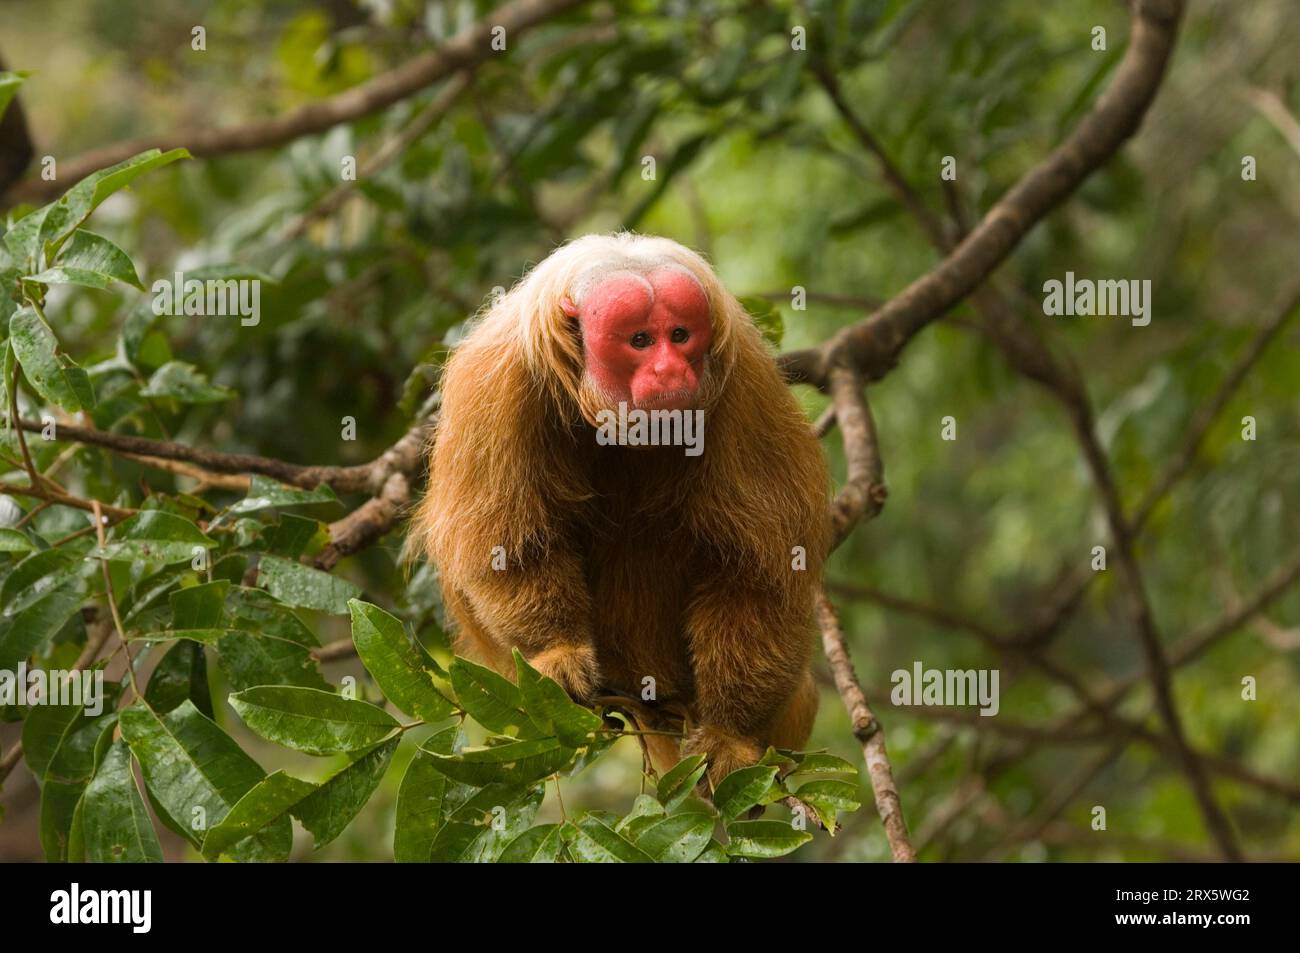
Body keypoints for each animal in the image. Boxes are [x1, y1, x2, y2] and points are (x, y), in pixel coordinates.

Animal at [410, 232, 826, 780]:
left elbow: (761, 575)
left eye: (680, 335)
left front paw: (730, 735)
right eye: (641, 341)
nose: (670, 370)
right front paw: (558, 650)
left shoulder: (744, 387)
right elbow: (507, 545)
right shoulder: (496, 385)